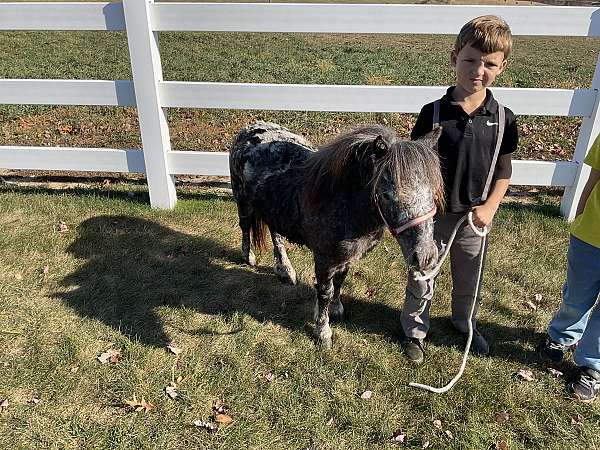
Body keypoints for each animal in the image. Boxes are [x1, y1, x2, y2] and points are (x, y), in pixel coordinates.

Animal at [227, 120, 442, 348]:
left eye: (432, 191)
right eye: (387, 194)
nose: (425, 257)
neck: (342, 202)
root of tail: (249, 129)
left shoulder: (346, 257)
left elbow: (340, 281)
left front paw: (337, 309)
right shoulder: (324, 259)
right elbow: (324, 291)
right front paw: (323, 331)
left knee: (276, 235)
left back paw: (285, 270)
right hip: (243, 201)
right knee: (245, 226)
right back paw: (249, 256)